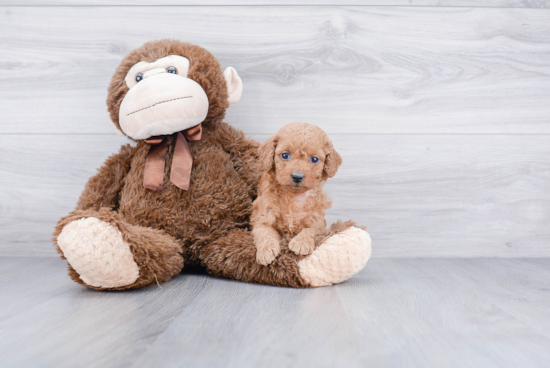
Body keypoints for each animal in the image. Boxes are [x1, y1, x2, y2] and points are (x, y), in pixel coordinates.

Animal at [252, 122, 342, 266]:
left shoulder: (318, 220)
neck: (293, 195)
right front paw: (266, 251)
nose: (297, 177)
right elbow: (265, 232)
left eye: (314, 159)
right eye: (285, 155)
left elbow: (311, 229)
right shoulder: (262, 216)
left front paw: (301, 243)